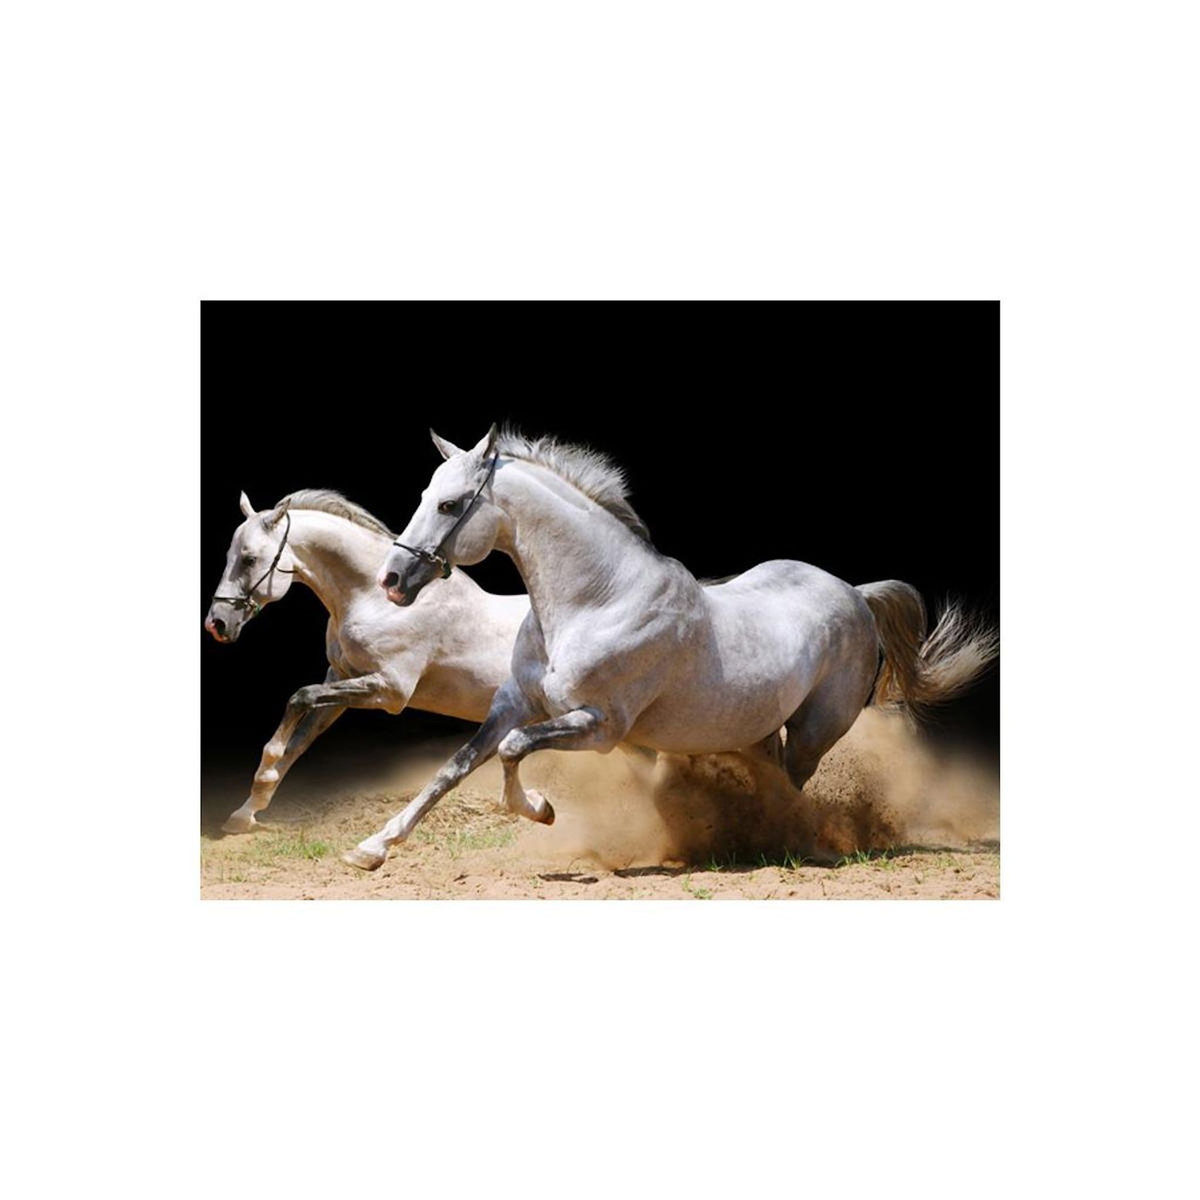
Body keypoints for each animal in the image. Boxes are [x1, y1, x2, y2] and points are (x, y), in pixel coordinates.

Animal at [203, 488, 528, 833]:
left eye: (249, 559)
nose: (216, 624)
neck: (375, 600)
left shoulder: (390, 691)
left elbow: (299, 698)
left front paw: (264, 772)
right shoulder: (340, 679)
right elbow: (299, 741)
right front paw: (246, 812)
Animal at [342, 426, 998, 871]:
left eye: (450, 504)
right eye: (425, 494)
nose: (393, 581)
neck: (597, 599)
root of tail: (855, 594)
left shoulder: (600, 726)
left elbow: (511, 751)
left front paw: (542, 809)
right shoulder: (513, 704)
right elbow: (454, 768)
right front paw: (371, 848)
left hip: (816, 730)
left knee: (793, 785)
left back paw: (783, 842)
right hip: (758, 728)